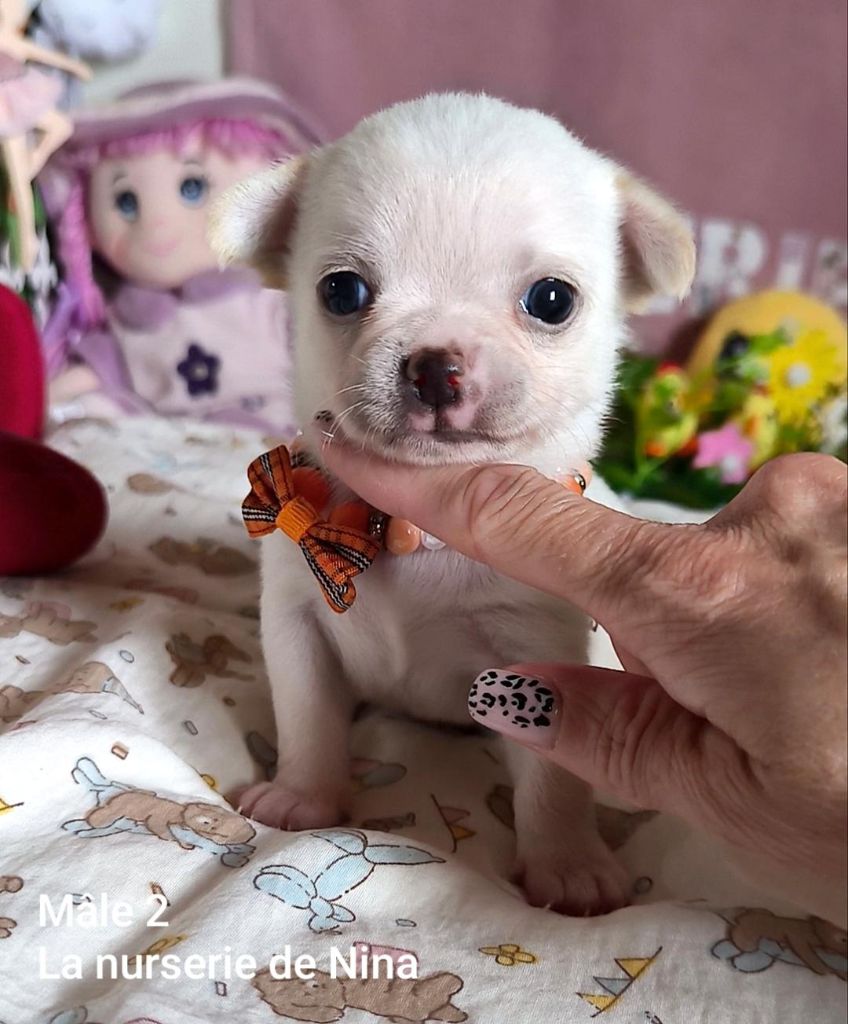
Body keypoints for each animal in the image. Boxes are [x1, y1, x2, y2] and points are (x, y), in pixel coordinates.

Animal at [211, 92, 694, 914]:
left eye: (552, 301)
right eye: (341, 290)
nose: (436, 364)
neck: (412, 530)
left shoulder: (542, 666)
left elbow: (553, 782)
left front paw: (567, 865)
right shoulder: (299, 623)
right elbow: (307, 714)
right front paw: (303, 797)